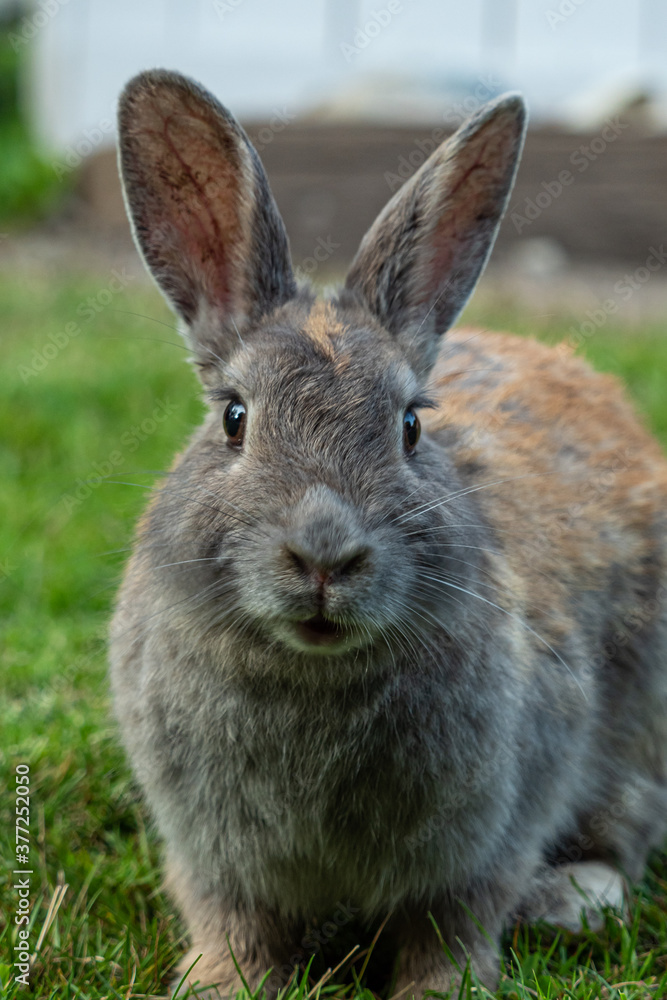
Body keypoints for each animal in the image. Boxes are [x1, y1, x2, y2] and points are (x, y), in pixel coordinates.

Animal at [110, 68, 667, 999]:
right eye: (234, 419)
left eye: (409, 426)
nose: (323, 556)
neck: (312, 674)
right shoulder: (209, 853)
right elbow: (230, 923)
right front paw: (218, 983)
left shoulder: (489, 833)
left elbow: (453, 924)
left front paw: (442, 990)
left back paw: (569, 898)